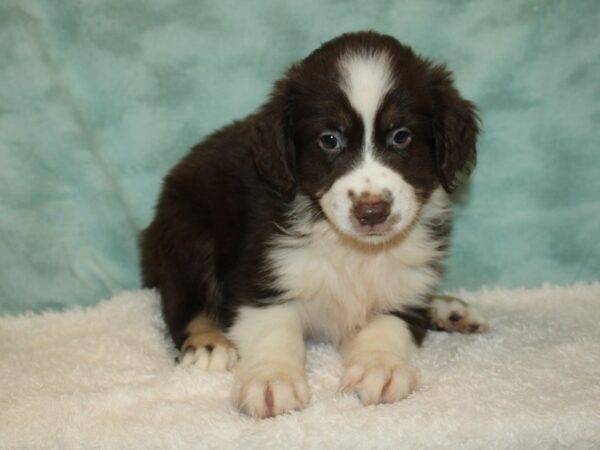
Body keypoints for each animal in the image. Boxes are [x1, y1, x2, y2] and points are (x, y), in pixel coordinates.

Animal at [142, 30, 488, 418]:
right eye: (329, 139)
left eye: (401, 136)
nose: (372, 211)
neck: (354, 250)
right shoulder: (261, 274)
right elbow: (275, 329)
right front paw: (272, 378)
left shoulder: (407, 283)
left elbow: (389, 325)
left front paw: (380, 367)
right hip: (188, 233)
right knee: (183, 302)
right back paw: (208, 344)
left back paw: (451, 309)